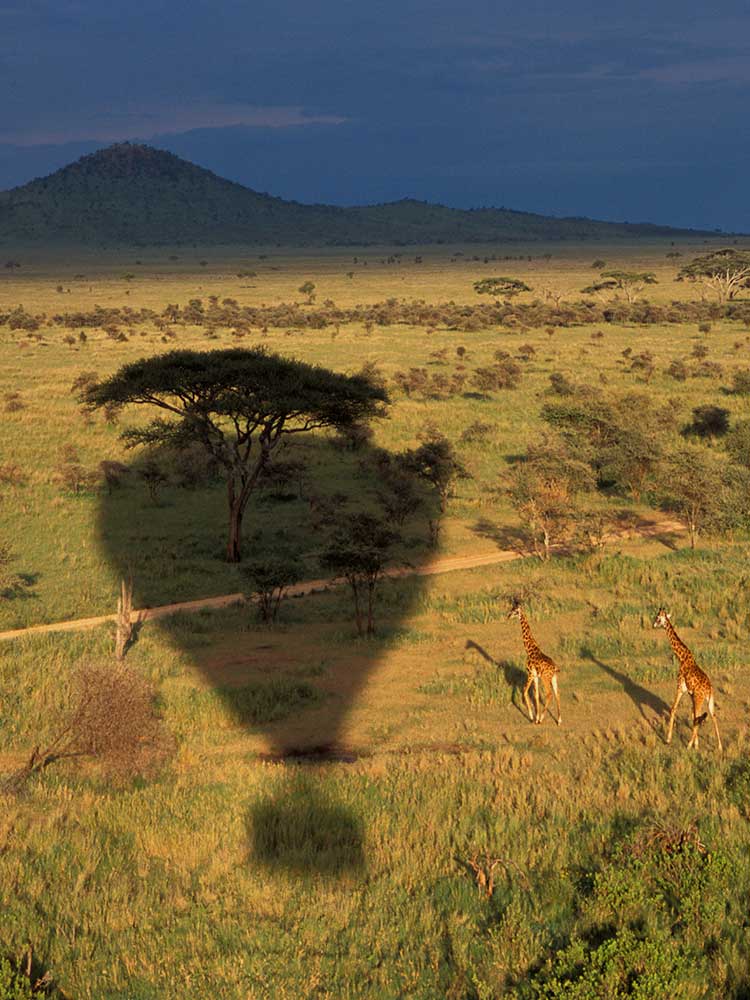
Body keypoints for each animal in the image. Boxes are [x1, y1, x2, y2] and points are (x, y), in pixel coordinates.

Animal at [652, 608, 722, 752]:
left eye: (658, 618)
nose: (654, 624)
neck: (682, 657)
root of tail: (709, 689)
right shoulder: (690, 694)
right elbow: (693, 715)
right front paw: (697, 744)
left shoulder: (680, 687)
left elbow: (673, 709)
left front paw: (668, 739)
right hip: (709, 700)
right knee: (712, 716)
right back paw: (719, 746)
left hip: (699, 698)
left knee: (702, 716)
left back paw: (688, 745)